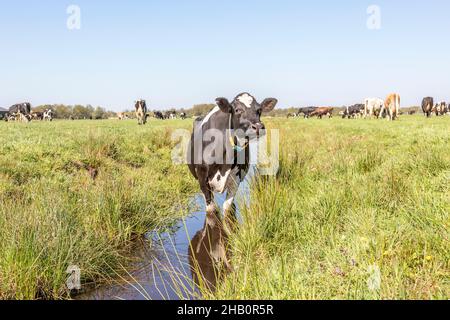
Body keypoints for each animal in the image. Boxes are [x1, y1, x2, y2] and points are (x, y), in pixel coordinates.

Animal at [187, 94, 278, 225]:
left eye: (259, 110)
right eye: (237, 110)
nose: (258, 126)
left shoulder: (237, 178)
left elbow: (227, 208)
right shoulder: (202, 176)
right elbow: (211, 211)